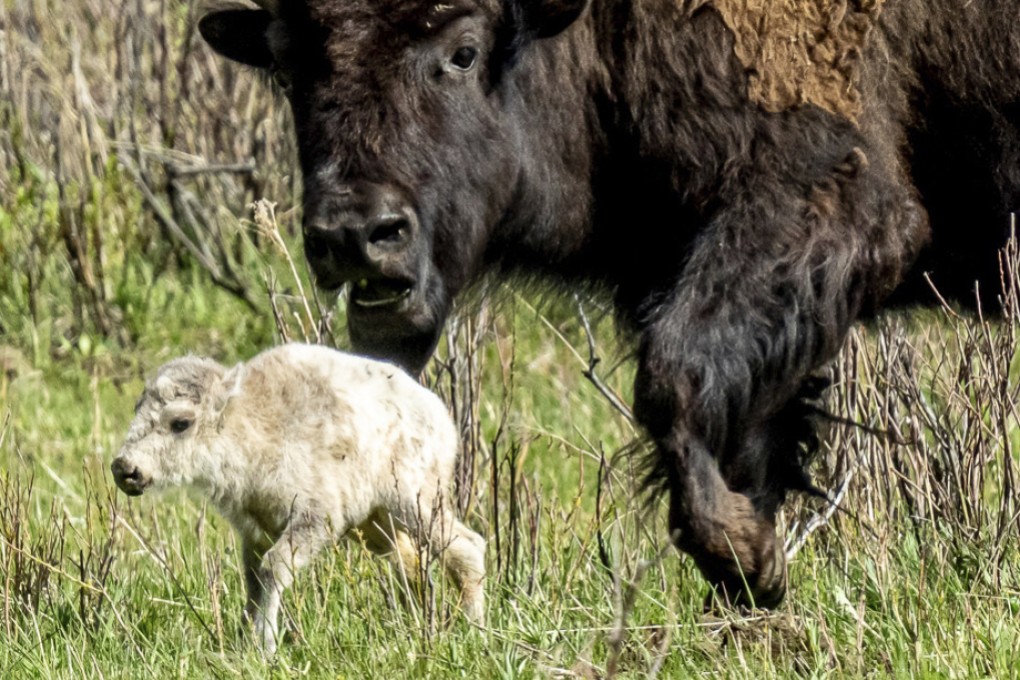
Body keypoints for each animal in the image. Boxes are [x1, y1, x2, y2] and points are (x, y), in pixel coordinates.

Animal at [197, 0, 1020, 608]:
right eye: (289, 67)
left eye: (463, 52)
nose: (356, 233)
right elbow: (742, 431)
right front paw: (754, 576)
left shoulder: (829, 203)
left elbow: (674, 379)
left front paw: (745, 558)